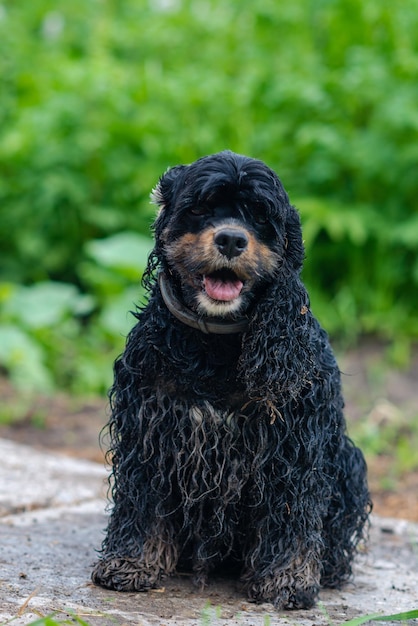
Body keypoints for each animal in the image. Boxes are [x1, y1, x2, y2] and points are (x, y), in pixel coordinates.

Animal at [91, 152, 370, 608]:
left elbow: (292, 513)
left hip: (348, 461)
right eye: (201, 208)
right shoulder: (149, 429)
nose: (231, 240)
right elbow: (142, 501)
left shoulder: (293, 444)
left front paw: (288, 580)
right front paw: (131, 563)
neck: (216, 347)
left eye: (259, 216)